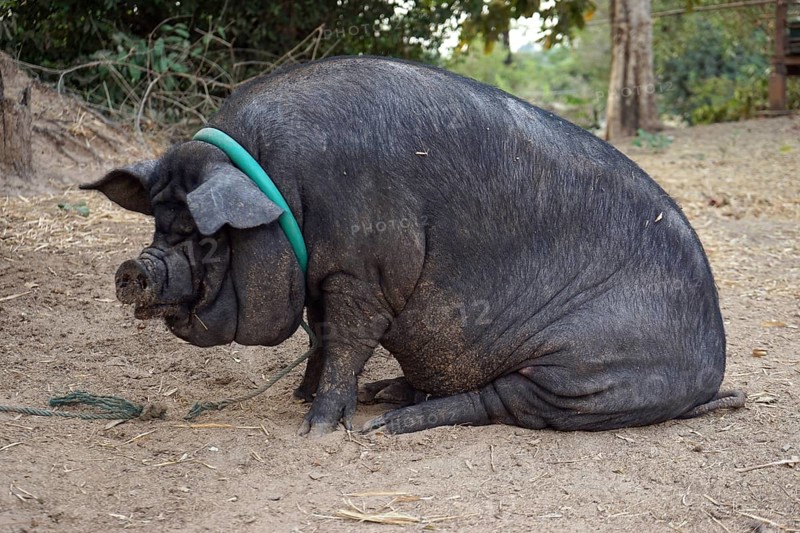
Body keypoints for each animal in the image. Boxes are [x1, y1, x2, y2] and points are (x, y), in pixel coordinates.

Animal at [81, 56, 744, 436]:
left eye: (204, 237)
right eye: (159, 225)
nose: (135, 268)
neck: (284, 192)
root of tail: (711, 374)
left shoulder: (365, 273)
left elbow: (346, 341)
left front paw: (317, 429)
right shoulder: (324, 276)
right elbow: (321, 337)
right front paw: (301, 396)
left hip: (585, 372)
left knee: (499, 401)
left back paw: (391, 423)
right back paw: (385, 396)